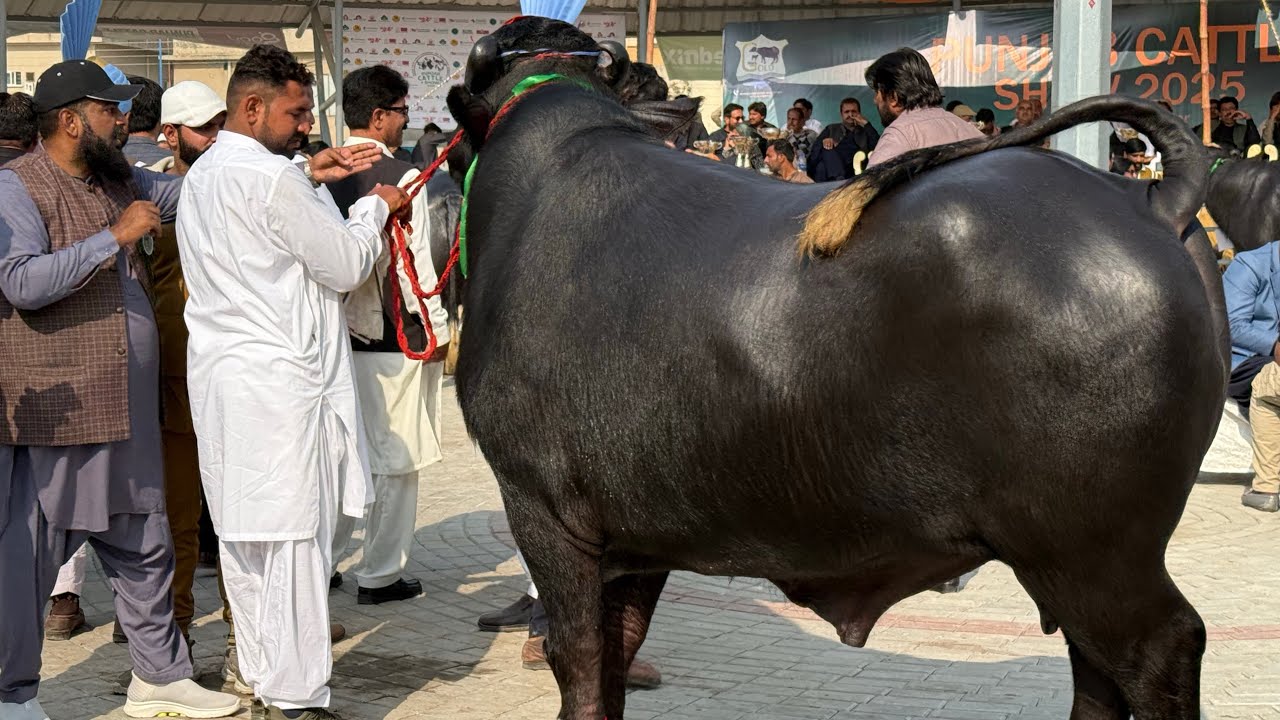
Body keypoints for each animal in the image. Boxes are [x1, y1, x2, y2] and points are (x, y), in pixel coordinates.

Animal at [444, 16, 1226, 720]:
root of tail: (1153, 198)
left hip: (1096, 552)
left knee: (1161, 649)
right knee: (1096, 673)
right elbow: (617, 657)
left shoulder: (545, 512)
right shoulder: (636, 540)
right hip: (1068, 561)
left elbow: (577, 660)